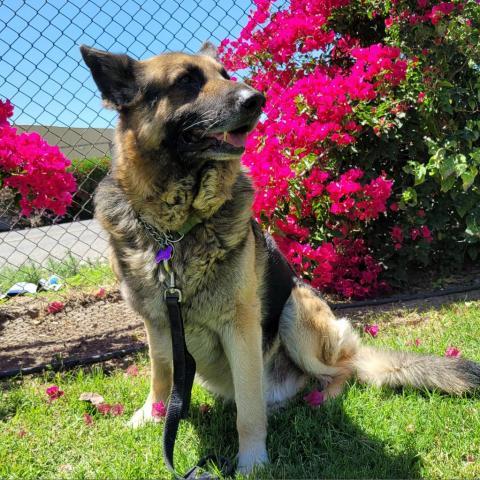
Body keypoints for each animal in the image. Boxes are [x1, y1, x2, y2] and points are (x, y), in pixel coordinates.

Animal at [79, 43, 480, 474]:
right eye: (186, 81)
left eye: (225, 74)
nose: (257, 99)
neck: (176, 229)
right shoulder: (157, 323)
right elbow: (162, 371)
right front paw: (152, 415)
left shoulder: (240, 328)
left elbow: (248, 410)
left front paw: (252, 461)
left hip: (296, 310)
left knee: (342, 370)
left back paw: (323, 398)